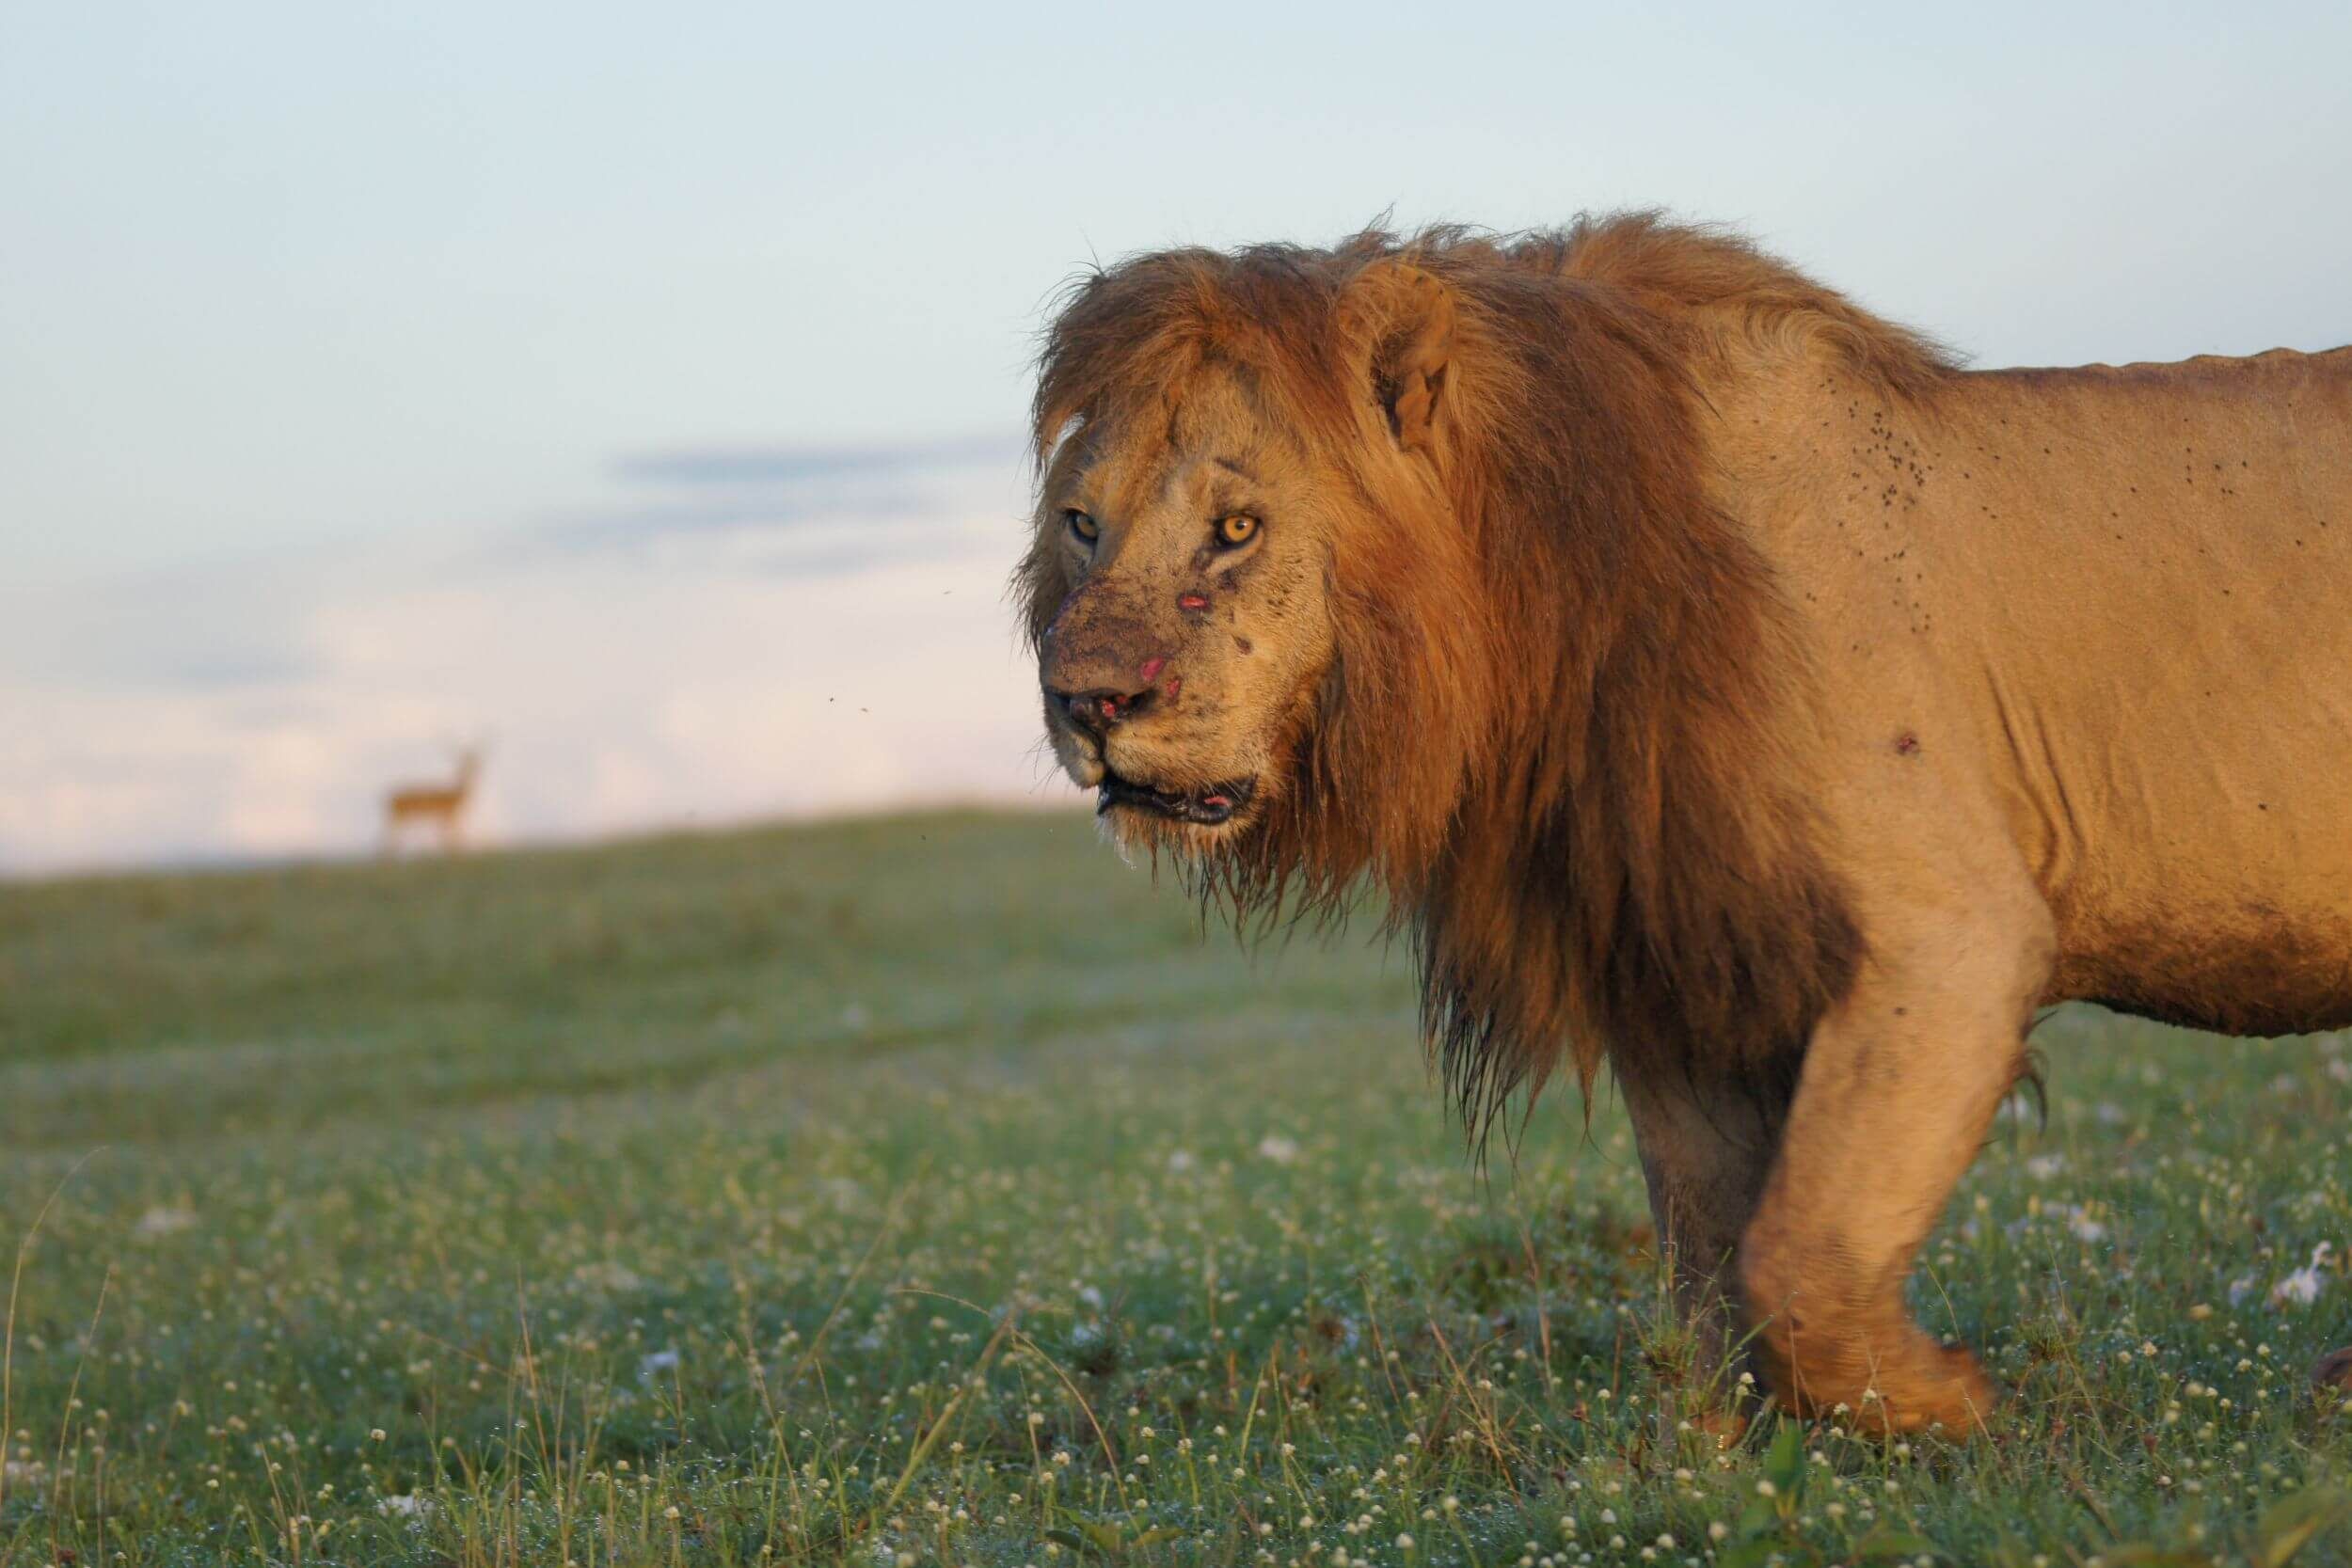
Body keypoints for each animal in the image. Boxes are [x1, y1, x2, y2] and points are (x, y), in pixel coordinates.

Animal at [1014, 213, 2352, 1433]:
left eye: (1236, 528)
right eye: (1082, 525)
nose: (1083, 702)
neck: (1544, 628)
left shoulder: (1953, 939)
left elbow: (1800, 1261)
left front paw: (1941, 1400)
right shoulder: (1678, 977)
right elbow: (1712, 1272)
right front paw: (1738, 1467)